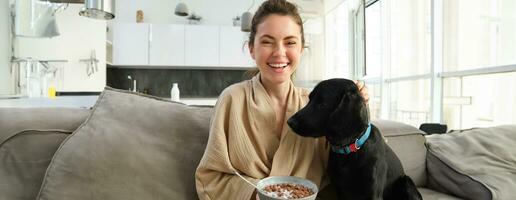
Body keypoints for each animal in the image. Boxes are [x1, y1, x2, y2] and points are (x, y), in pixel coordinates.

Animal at [288, 78, 422, 200]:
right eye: (310, 99)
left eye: (322, 103)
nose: (290, 122)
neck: (349, 149)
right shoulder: (340, 191)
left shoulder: (373, 193)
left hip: (407, 183)